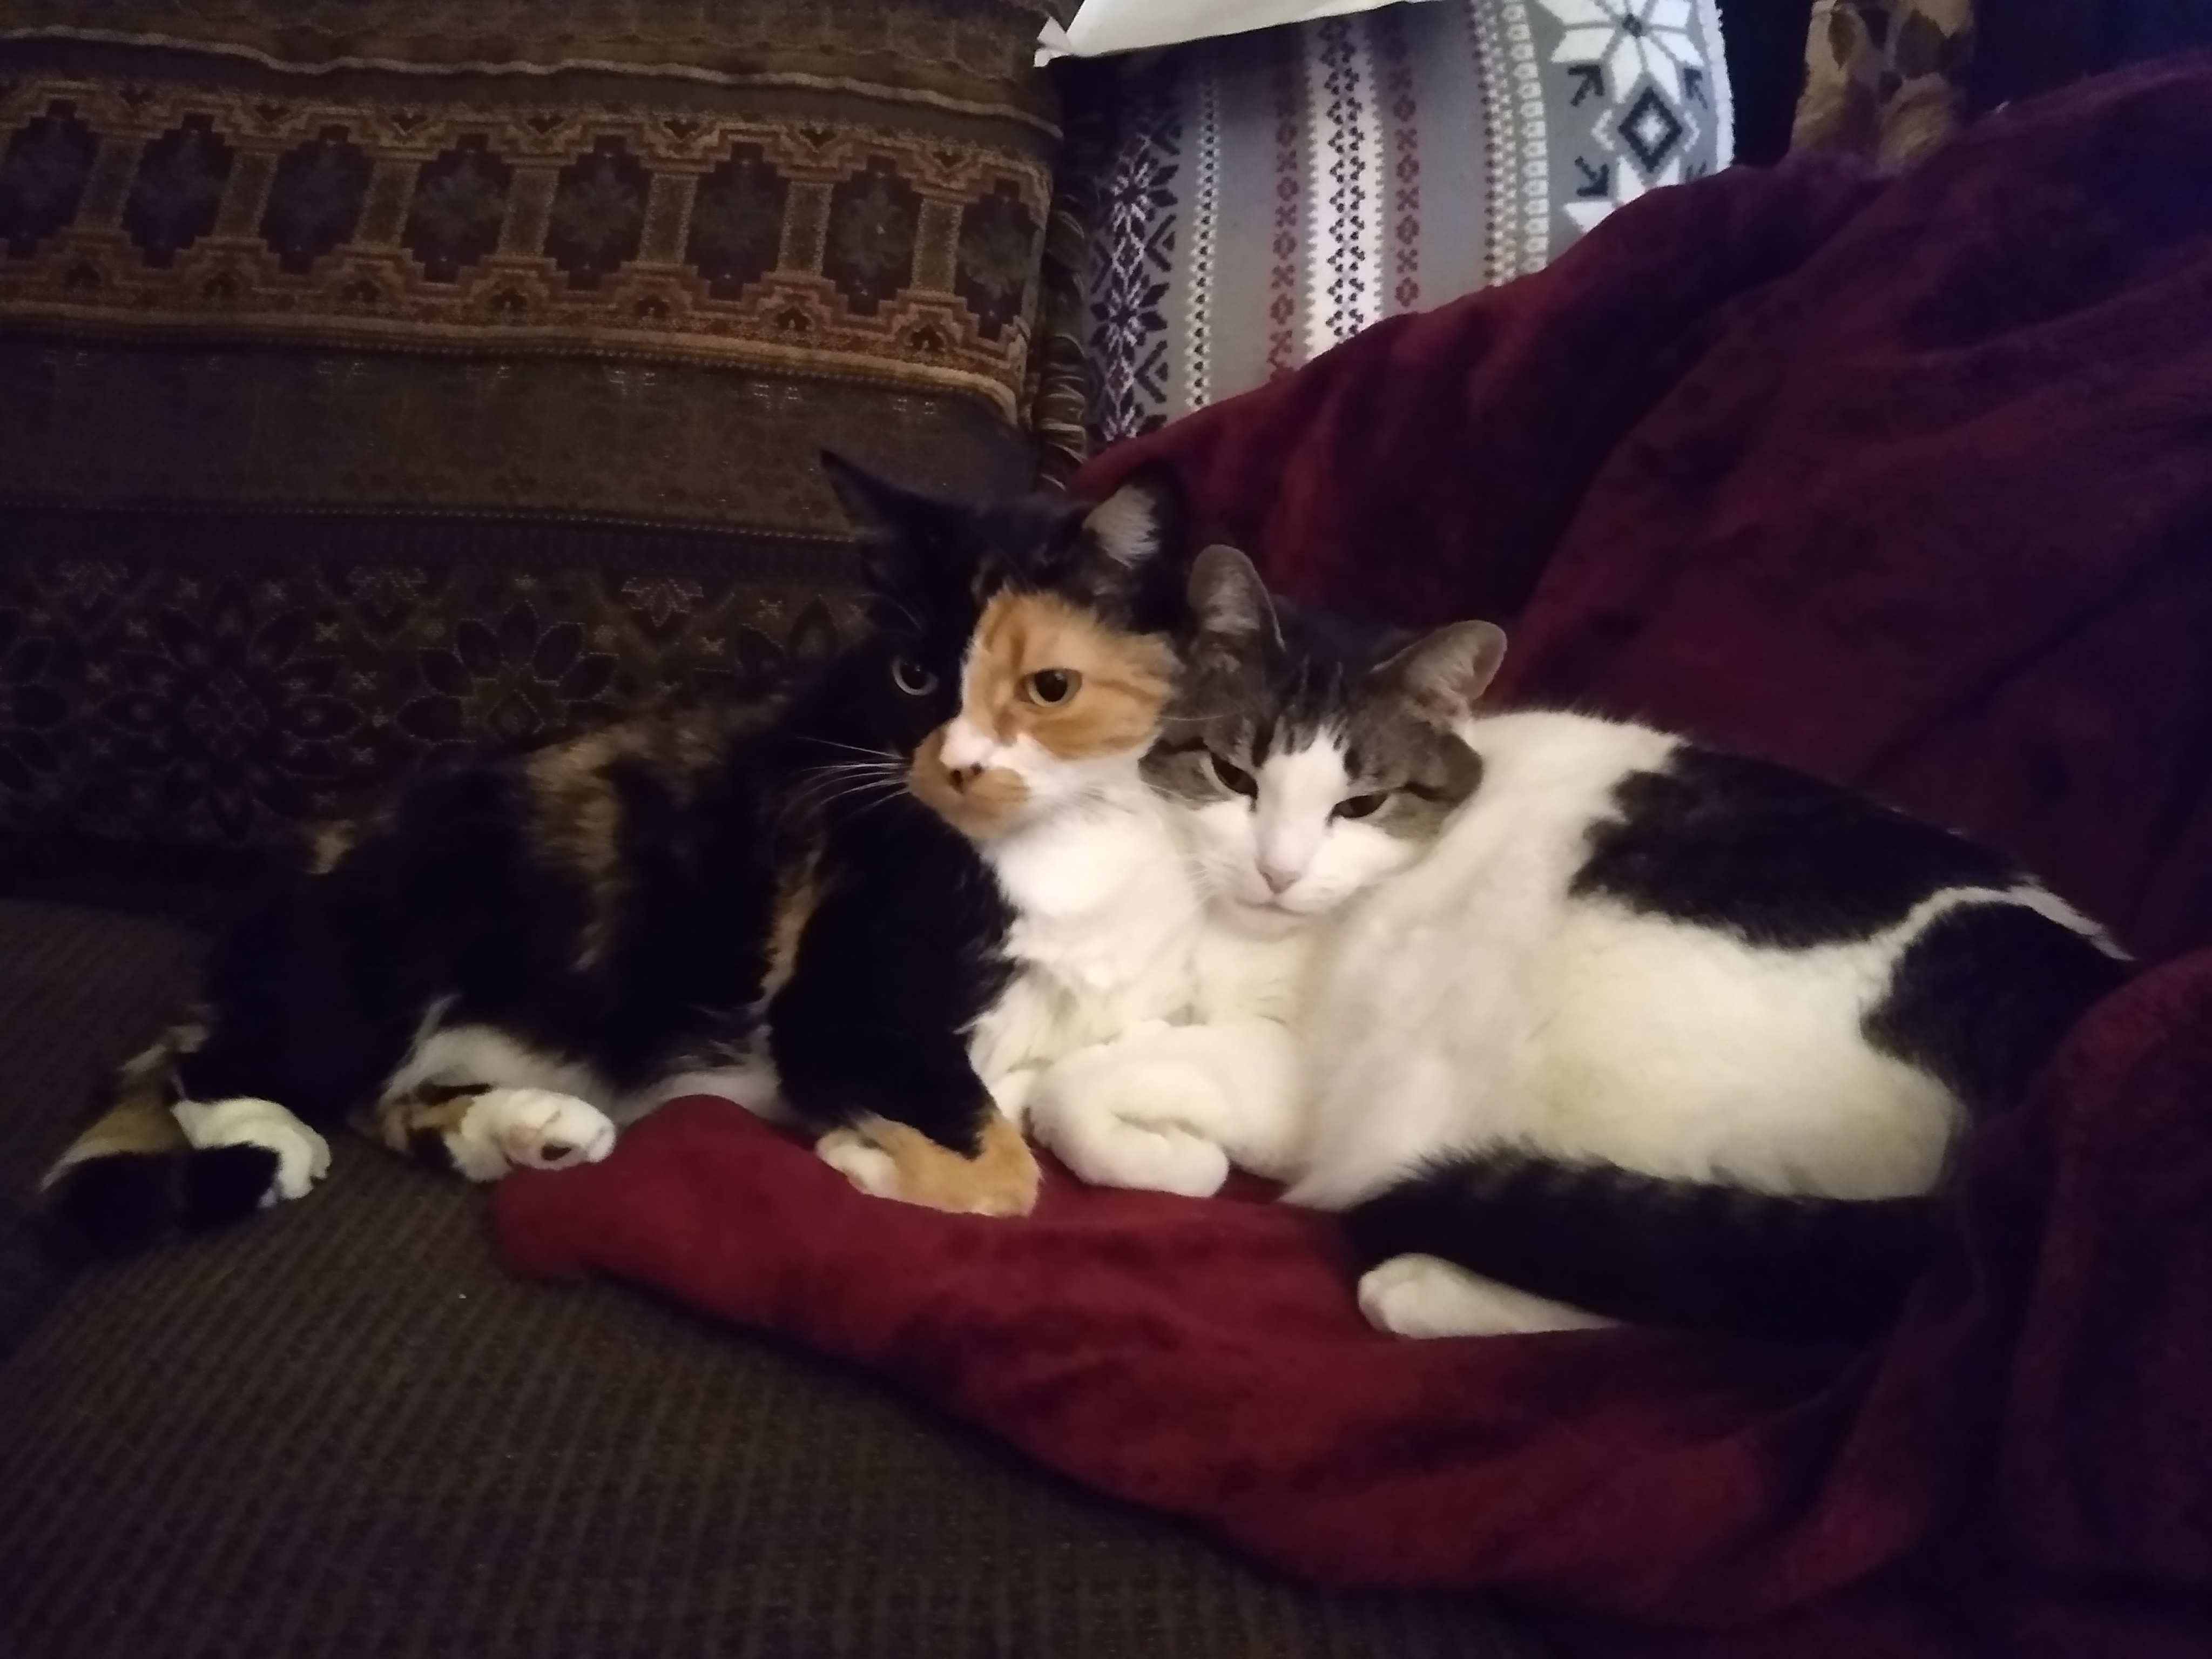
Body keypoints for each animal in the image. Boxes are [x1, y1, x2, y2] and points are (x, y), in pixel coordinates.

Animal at [33, 456, 1192, 1258]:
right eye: (914, 676)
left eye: (1048, 687)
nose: (954, 767)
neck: (1055, 845)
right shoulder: (846, 1006)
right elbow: (1005, 1170)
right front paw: (858, 1157)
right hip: (397, 930)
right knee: (230, 1067)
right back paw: (271, 1138)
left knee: (385, 1096)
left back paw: (529, 1129)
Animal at [1029, 546, 2131, 1343]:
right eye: (1235, 776)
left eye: (1360, 806)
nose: (1280, 870)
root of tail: (2058, 995)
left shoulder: (1296, 1075)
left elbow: (1074, 1097)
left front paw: (1175, 1161)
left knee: (1712, 1282)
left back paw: (1425, 1286)